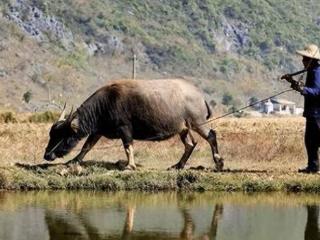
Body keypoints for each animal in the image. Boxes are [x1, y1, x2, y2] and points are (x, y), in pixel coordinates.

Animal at [43, 79, 224, 171]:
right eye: (52, 134)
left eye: (62, 135)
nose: (47, 155)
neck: (106, 103)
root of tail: (200, 96)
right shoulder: (97, 131)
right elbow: (86, 146)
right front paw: (74, 161)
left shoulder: (125, 130)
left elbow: (128, 147)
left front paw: (130, 165)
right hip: (183, 128)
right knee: (190, 144)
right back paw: (178, 165)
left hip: (198, 122)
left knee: (211, 135)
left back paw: (219, 162)